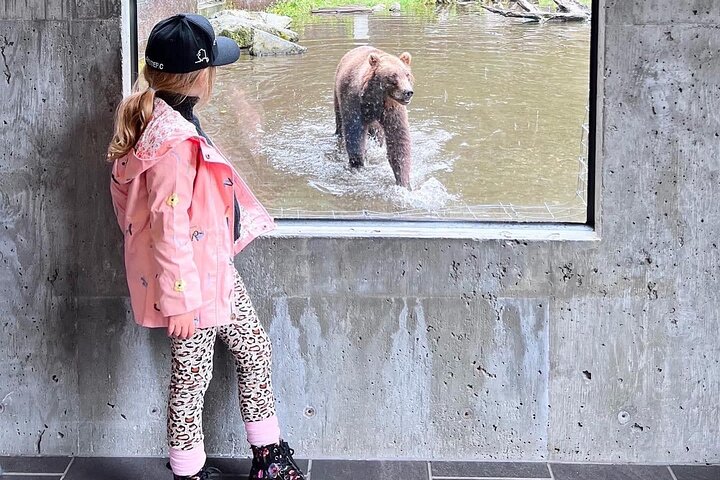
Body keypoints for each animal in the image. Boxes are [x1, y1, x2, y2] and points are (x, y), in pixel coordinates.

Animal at [334, 46, 414, 188]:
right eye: (393, 76)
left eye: (407, 74)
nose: (408, 92)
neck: (374, 99)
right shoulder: (353, 103)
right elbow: (354, 135)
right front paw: (358, 164)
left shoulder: (392, 111)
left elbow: (399, 141)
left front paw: (404, 182)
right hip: (337, 97)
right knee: (340, 124)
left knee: (378, 134)